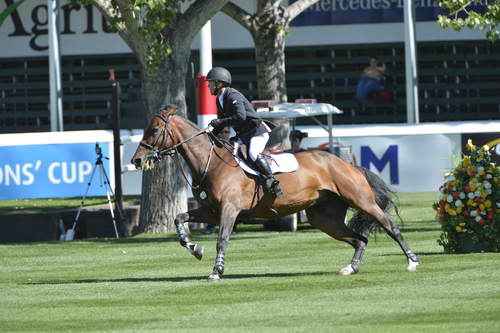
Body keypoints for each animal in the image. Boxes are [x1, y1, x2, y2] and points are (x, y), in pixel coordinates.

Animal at [132, 105, 418, 280]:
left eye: (154, 130)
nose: (136, 160)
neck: (211, 162)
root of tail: (345, 163)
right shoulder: (211, 212)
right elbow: (179, 218)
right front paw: (194, 248)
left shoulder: (229, 210)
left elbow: (222, 239)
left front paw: (216, 271)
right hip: (324, 218)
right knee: (360, 239)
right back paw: (351, 267)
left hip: (361, 200)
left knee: (390, 227)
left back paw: (412, 261)